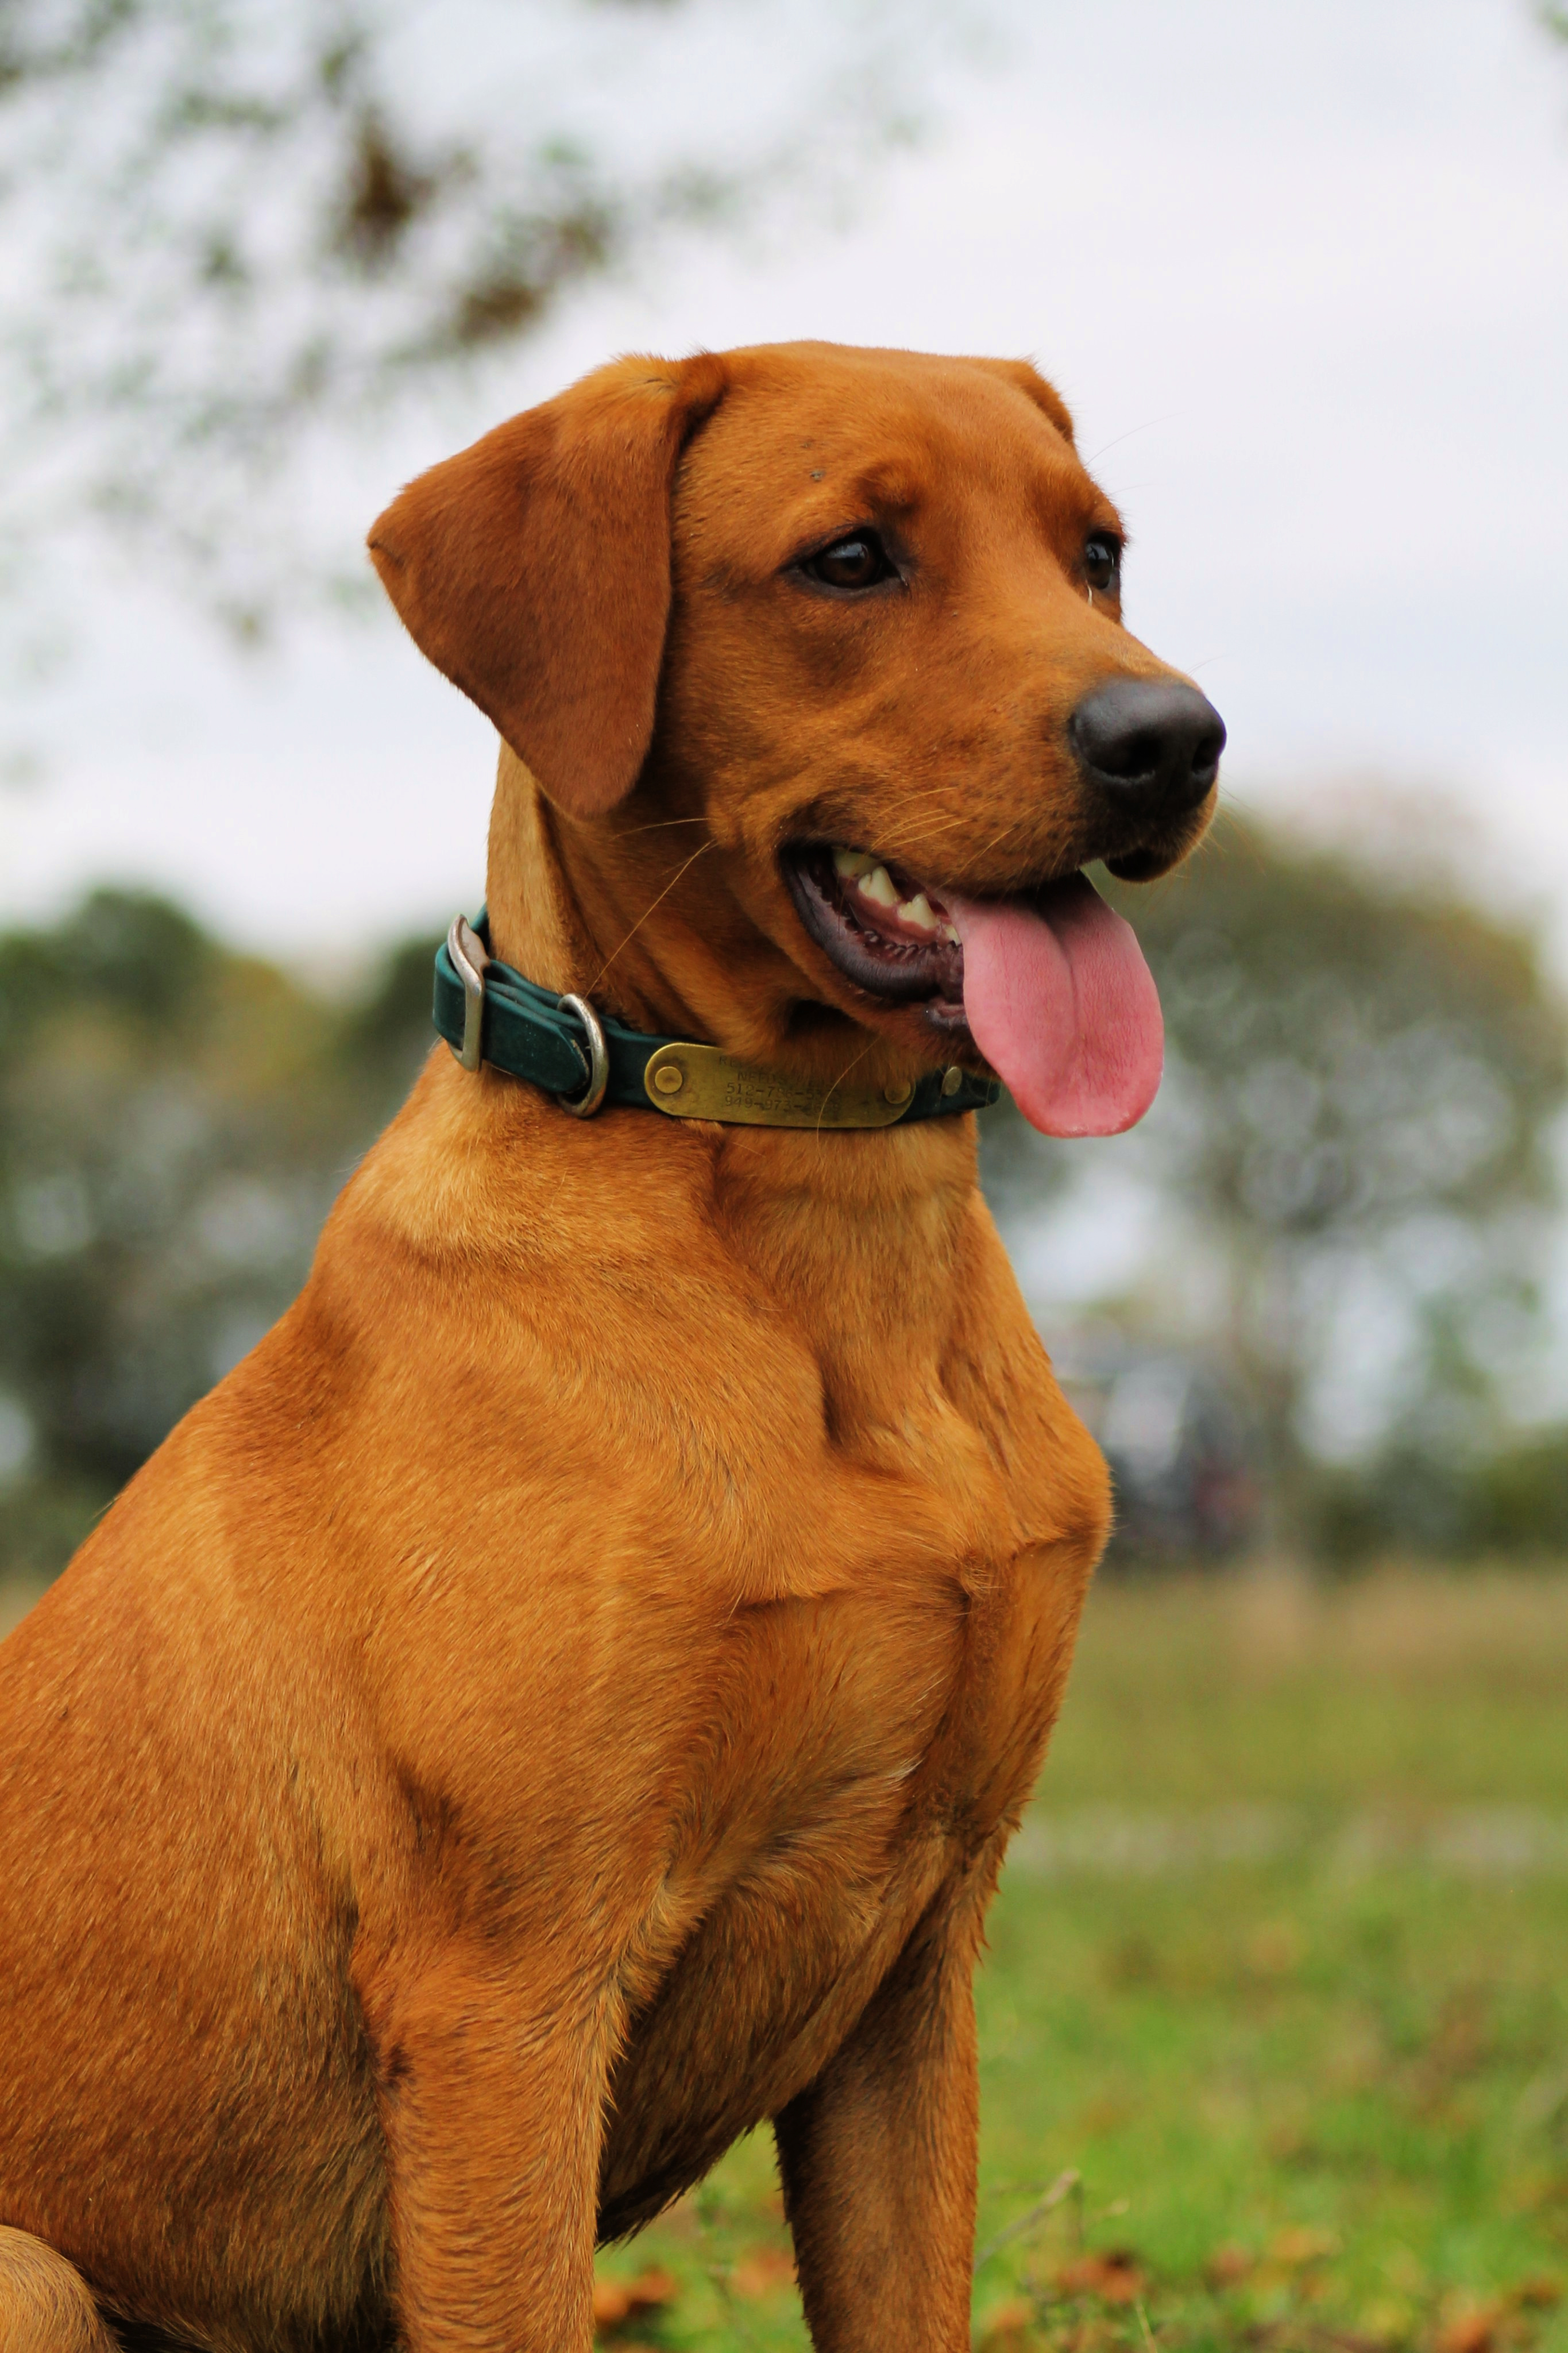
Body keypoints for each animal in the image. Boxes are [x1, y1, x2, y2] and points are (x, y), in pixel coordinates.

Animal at [0, 336, 1222, 2353]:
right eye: (850, 560)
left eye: (1099, 553)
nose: (1171, 741)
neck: (822, 1222)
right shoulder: (507, 1991)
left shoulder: (918, 1970)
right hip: (34, 2269)